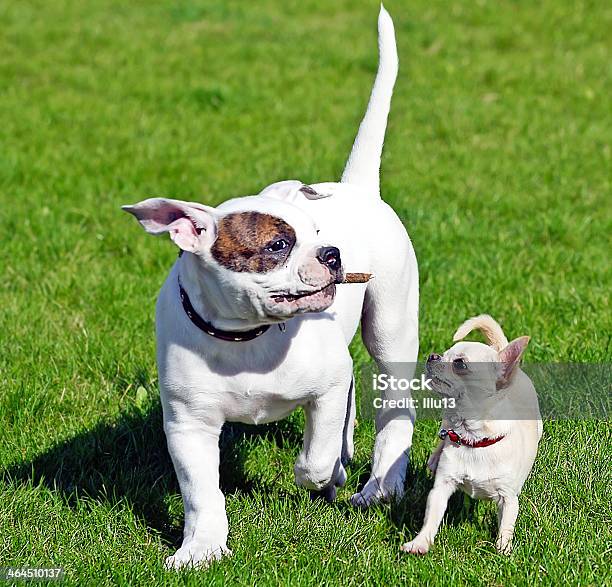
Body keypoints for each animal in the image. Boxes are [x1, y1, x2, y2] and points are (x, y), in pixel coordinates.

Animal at [125, 5, 420, 568]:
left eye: (320, 236)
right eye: (279, 245)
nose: (332, 255)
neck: (245, 335)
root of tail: (358, 187)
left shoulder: (326, 386)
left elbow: (314, 458)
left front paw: (328, 475)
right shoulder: (188, 423)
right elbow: (201, 491)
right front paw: (201, 548)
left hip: (392, 328)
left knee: (395, 409)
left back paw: (379, 485)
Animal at [402, 316, 540, 556]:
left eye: (460, 364)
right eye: (444, 353)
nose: (433, 356)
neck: (473, 439)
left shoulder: (508, 498)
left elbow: (506, 526)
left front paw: (503, 551)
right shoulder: (442, 487)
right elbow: (431, 518)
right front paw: (420, 543)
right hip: (446, 421)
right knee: (444, 430)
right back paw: (435, 456)